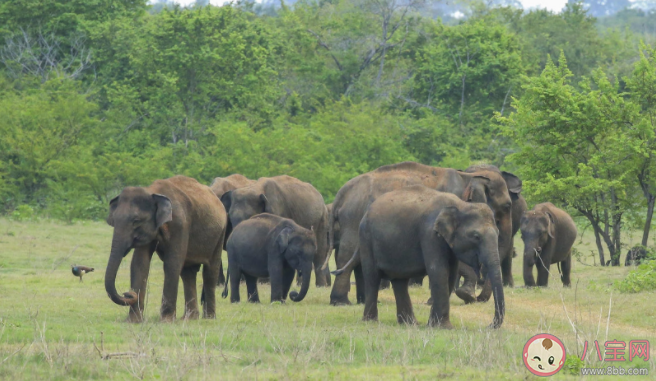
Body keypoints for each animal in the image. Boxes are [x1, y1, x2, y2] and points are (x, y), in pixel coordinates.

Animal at [103, 175, 226, 320]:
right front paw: (134, 321)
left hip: (220, 234)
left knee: (210, 272)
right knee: (188, 273)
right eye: (114, 221)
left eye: (136, 221)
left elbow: (172, 263)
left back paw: (208, 318)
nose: (128, 293)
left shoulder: (180, 224)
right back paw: (189, 318)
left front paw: (166, 320)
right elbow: (140, 263)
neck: (152, 192)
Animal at [322, 162, 512, 304]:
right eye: (507, 206)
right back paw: (341, 302)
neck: (469, 177)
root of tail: (342, 192)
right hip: (354, 217)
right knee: (348, 254)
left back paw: (362, 301)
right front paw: (463, 295)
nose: (479, 299)